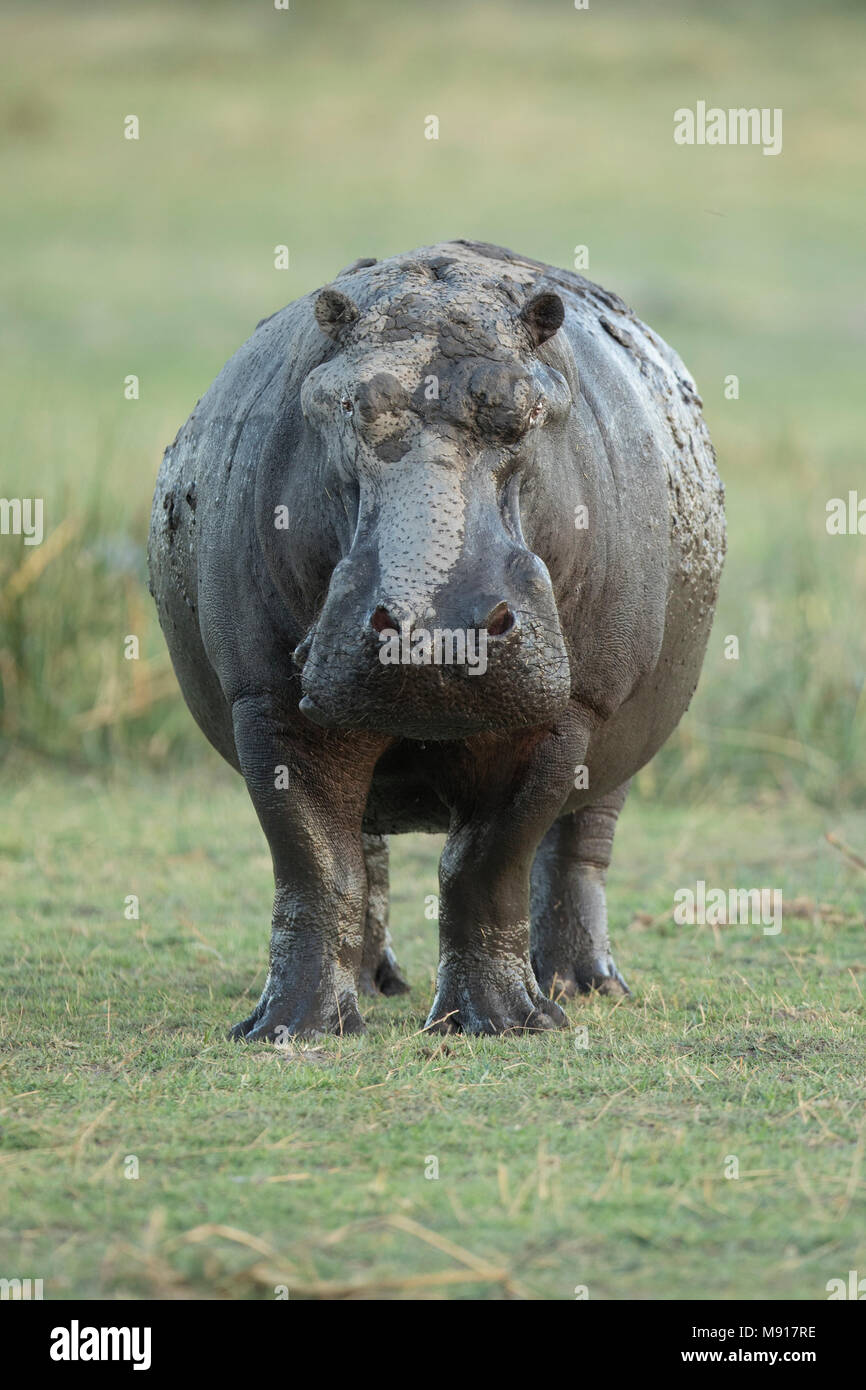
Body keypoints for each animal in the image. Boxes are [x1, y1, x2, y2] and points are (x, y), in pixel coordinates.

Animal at [148, 240, 725, 1039]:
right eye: (345, 406)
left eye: (526, 414)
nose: (436, 633)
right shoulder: (265, 700)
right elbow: (314, 862)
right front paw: (288, 1030)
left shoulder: (566, 714)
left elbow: (487, 863)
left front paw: (512, 1025)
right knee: (365, 851)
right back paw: (376, 986)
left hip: (621, 733)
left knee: (581, 845)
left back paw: (585, 988)